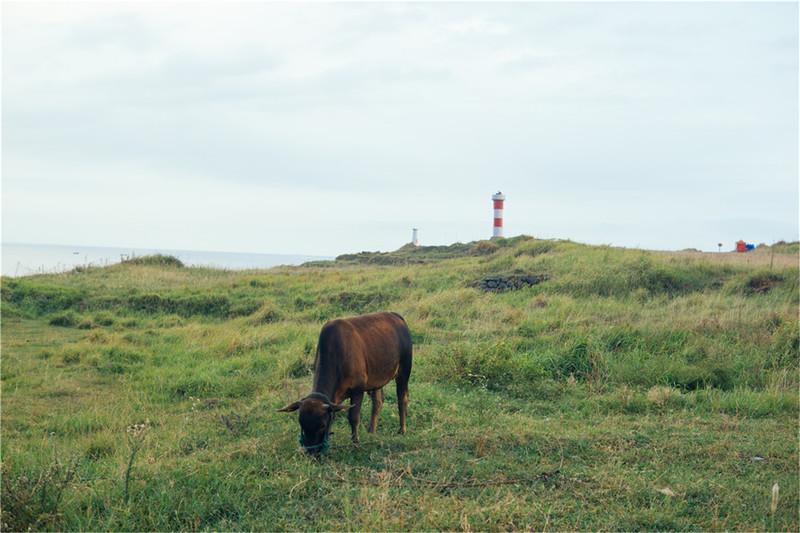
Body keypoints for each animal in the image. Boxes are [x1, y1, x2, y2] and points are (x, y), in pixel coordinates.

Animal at [278, 312, 412, 454]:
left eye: (322, 425)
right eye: (301, 424)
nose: (311, 452)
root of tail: (397, 316)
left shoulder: (358, 389)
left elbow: (353, 418)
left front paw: (356, 443)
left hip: (404, 370)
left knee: (402, 399)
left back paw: (402, 430)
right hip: (376, 380)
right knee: (378, 402)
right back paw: (371, 431)